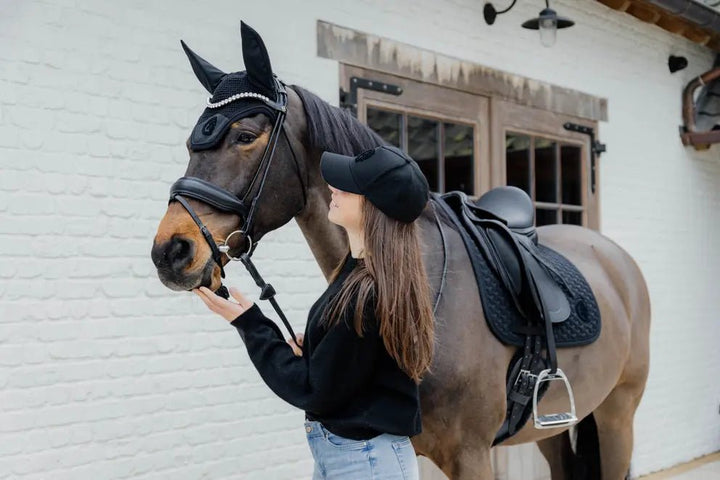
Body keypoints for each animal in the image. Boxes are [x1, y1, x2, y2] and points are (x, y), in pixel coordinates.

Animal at [152, 23, 652, 480]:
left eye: (245, 136)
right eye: (191, 143)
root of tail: (618, 262)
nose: (170, 251)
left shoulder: (472, 456)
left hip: (617, 416)